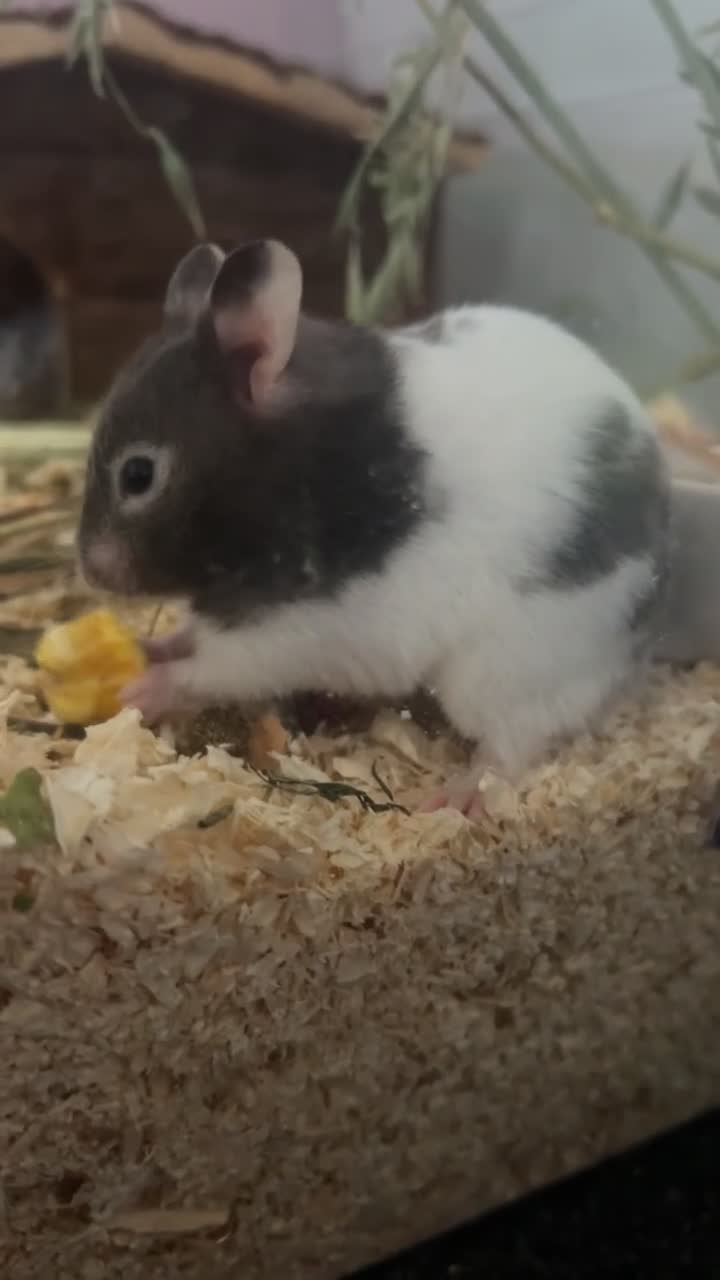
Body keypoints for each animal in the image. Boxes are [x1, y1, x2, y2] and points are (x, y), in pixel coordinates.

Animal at [77, 238, 671, 817]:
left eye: (138, 475)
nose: (89, 570)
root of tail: (639, 641)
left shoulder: (308, 626)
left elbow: (215, 668)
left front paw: (138, 691)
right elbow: (188, 638)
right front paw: (149, 645)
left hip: (511, 668)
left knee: (514, 742)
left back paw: (457, 798)